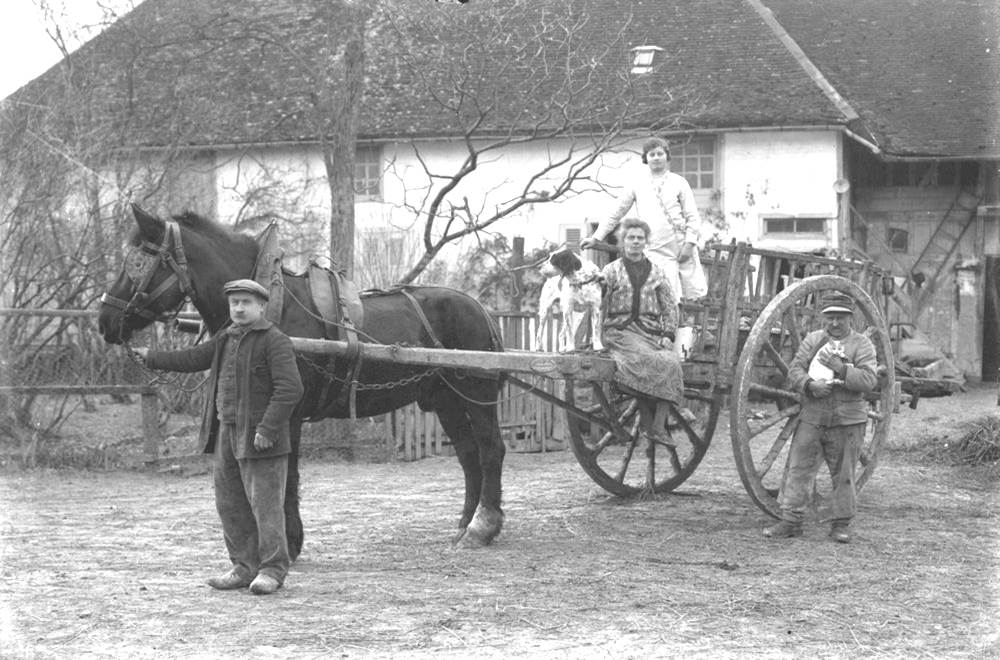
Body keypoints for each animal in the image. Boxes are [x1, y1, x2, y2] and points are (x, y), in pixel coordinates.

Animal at [98, 204, 508, 556]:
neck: (272, 308)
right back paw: (465, 523)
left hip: (477, 395)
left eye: (138, 261)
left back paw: (482, 527)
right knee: (468, 454)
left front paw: (290, 542)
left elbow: (286, 475)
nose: (105, 320)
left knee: (490, 450)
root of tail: (482, 309)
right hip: (445, 400)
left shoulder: (287, 413)